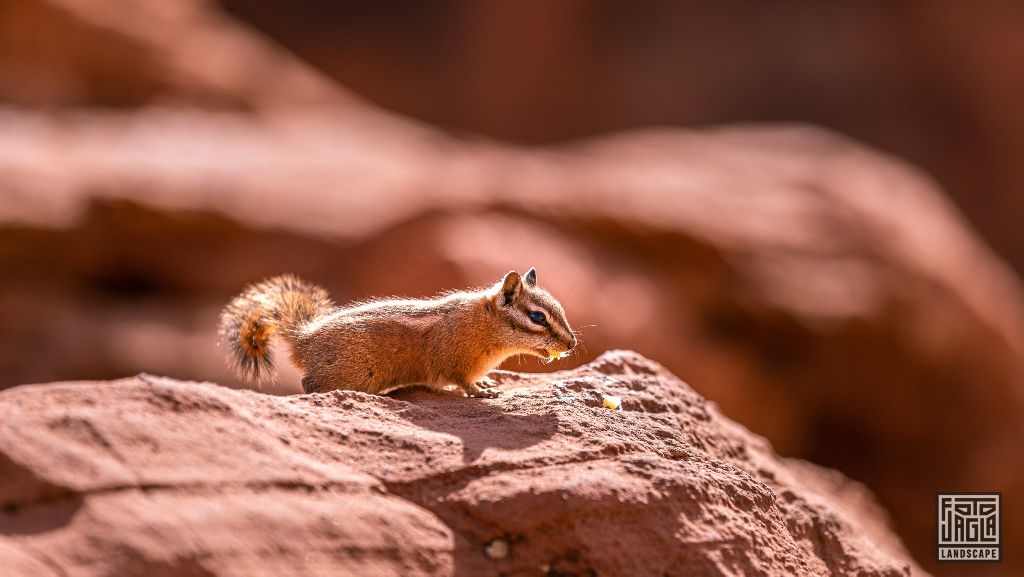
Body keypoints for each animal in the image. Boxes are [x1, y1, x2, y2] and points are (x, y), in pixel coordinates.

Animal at [218, 268, 577, 397]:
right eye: (537, 316)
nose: (571, 343)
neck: (485, 323)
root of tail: (304, 338)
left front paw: (488, 383)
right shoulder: (454, 362)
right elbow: (462, 382)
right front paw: (481, 392)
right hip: (352, 373)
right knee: (308, 383)